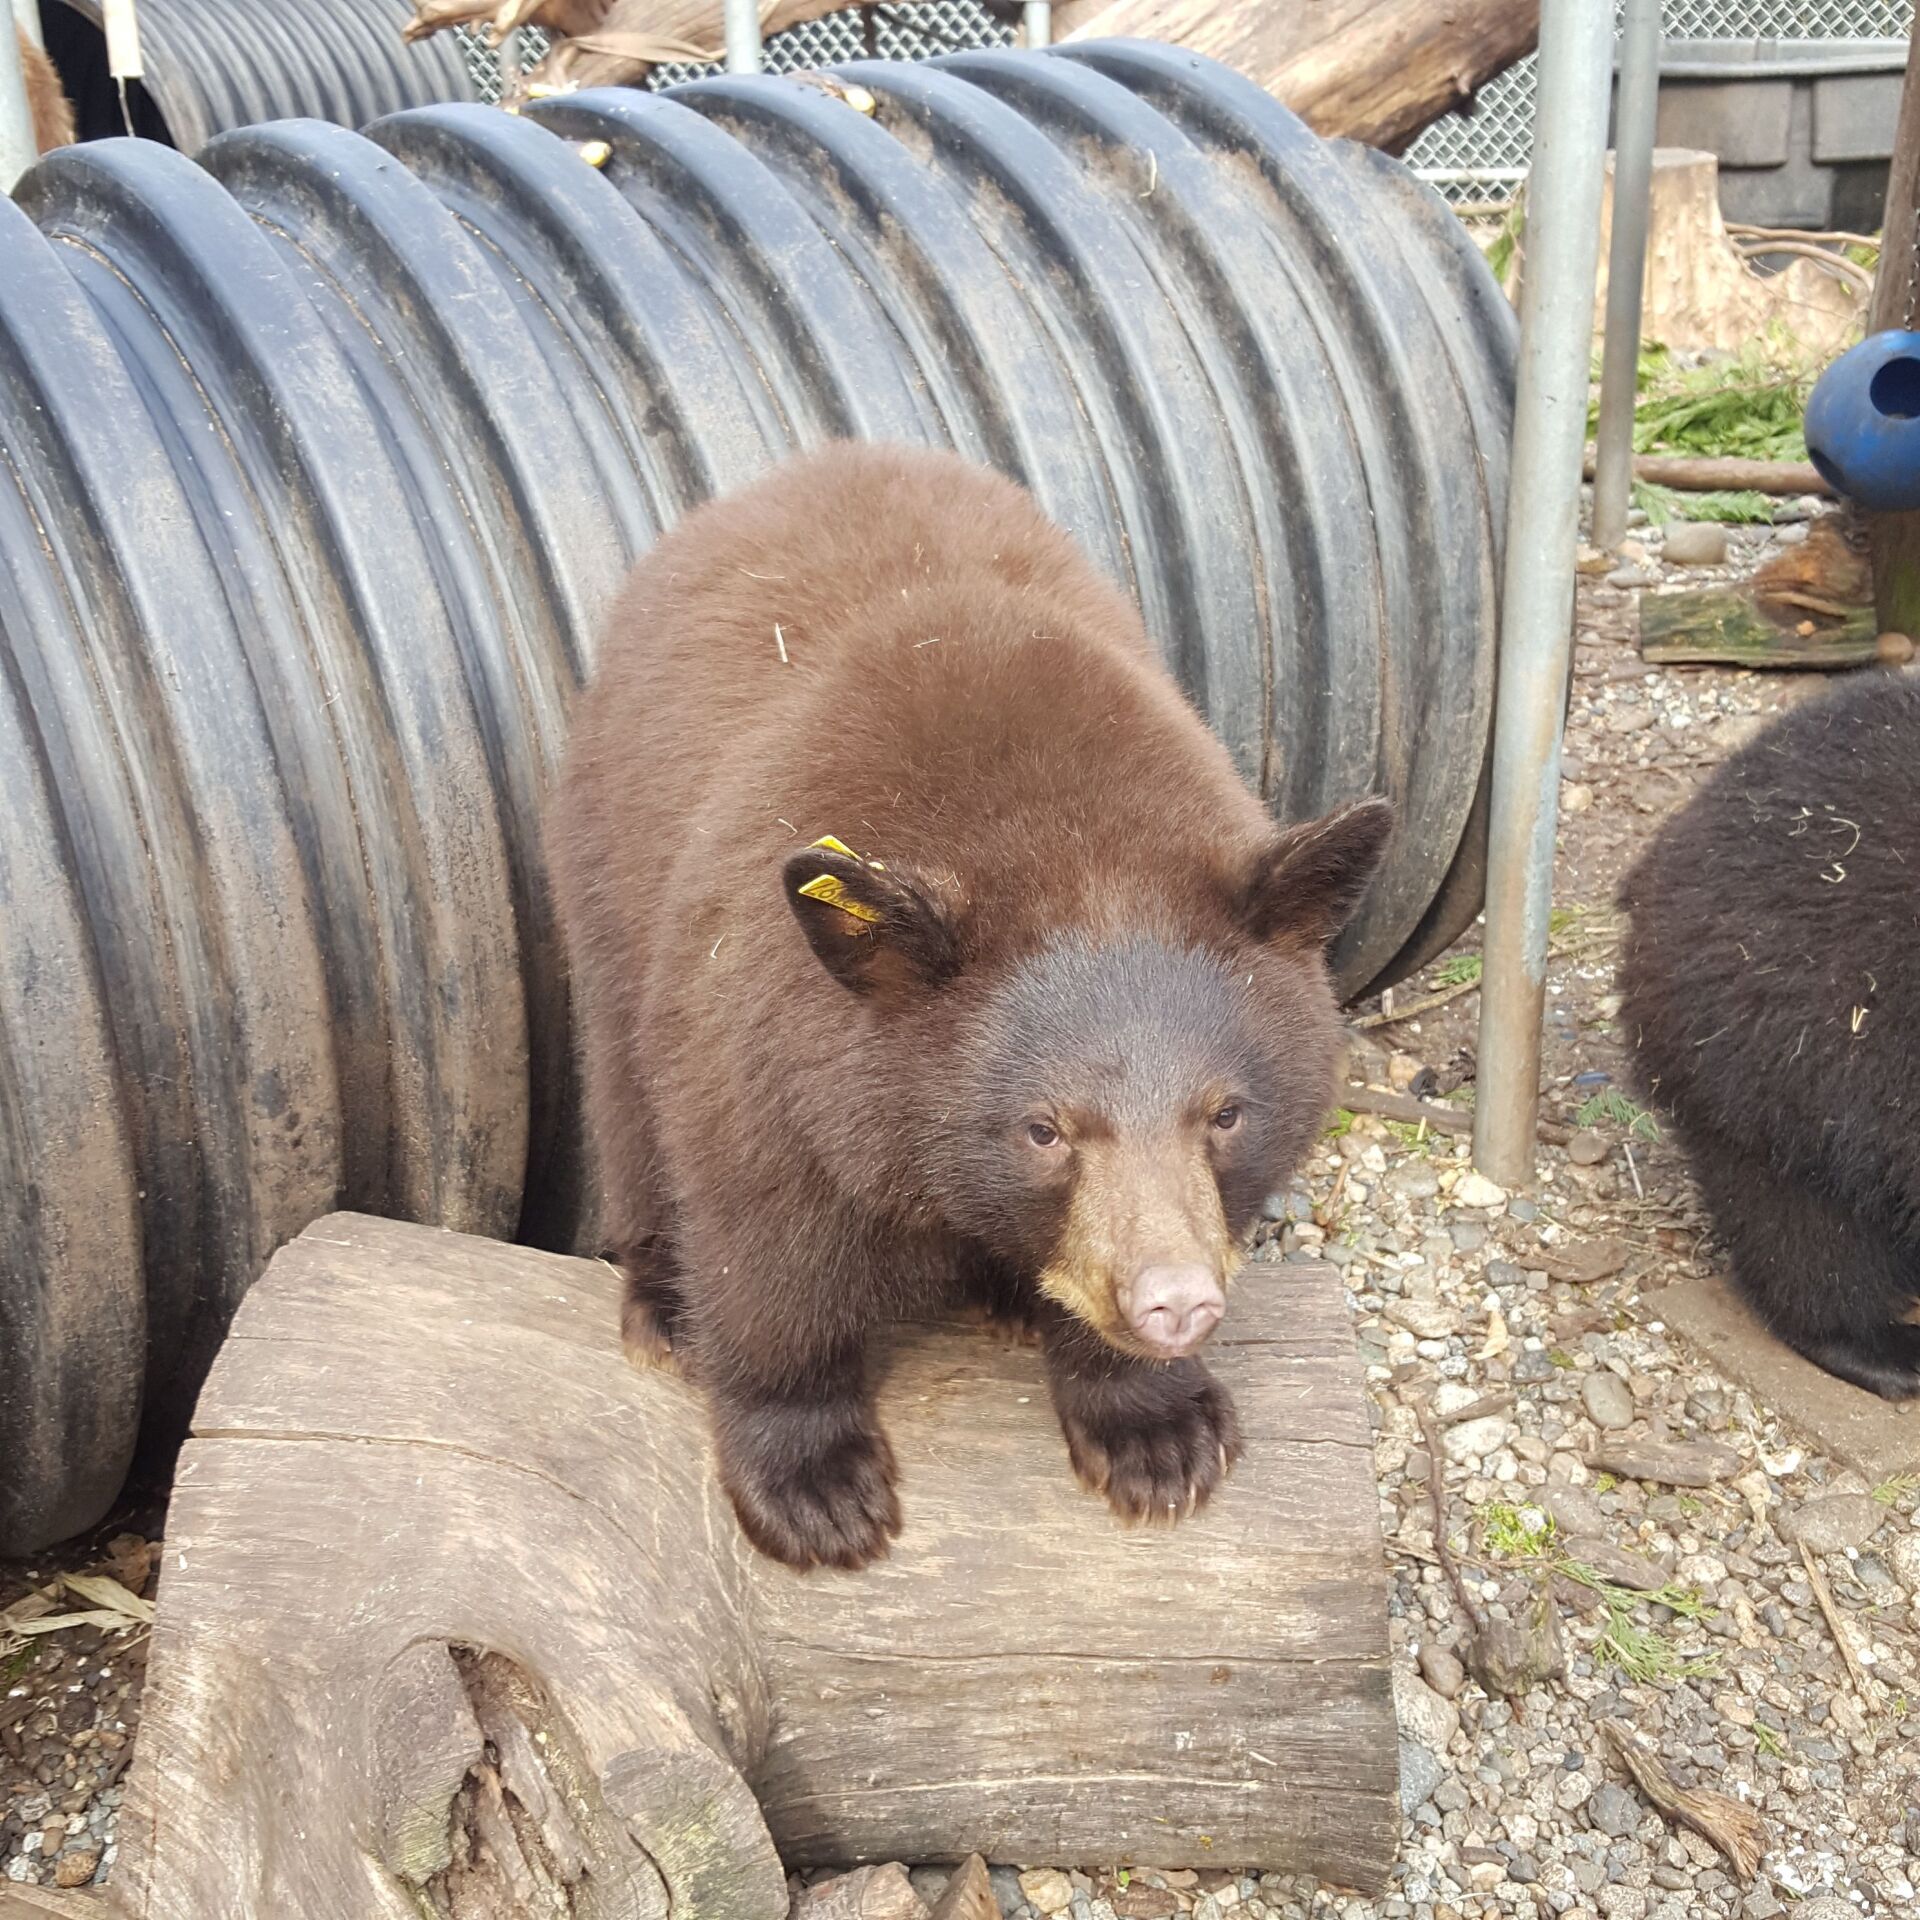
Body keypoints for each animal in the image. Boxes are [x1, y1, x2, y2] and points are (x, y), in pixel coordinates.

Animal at [549, 441, 1390, 1566]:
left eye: (1225, 1114)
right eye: (1043, 1129)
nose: (1175, 1305)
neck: (1067, 836)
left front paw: (1157, 1433)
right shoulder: (766, 1038)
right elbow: (766, 1251)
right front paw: (815, 1488)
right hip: (603, 870)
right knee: (622, 1089)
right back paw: (662, 1301)